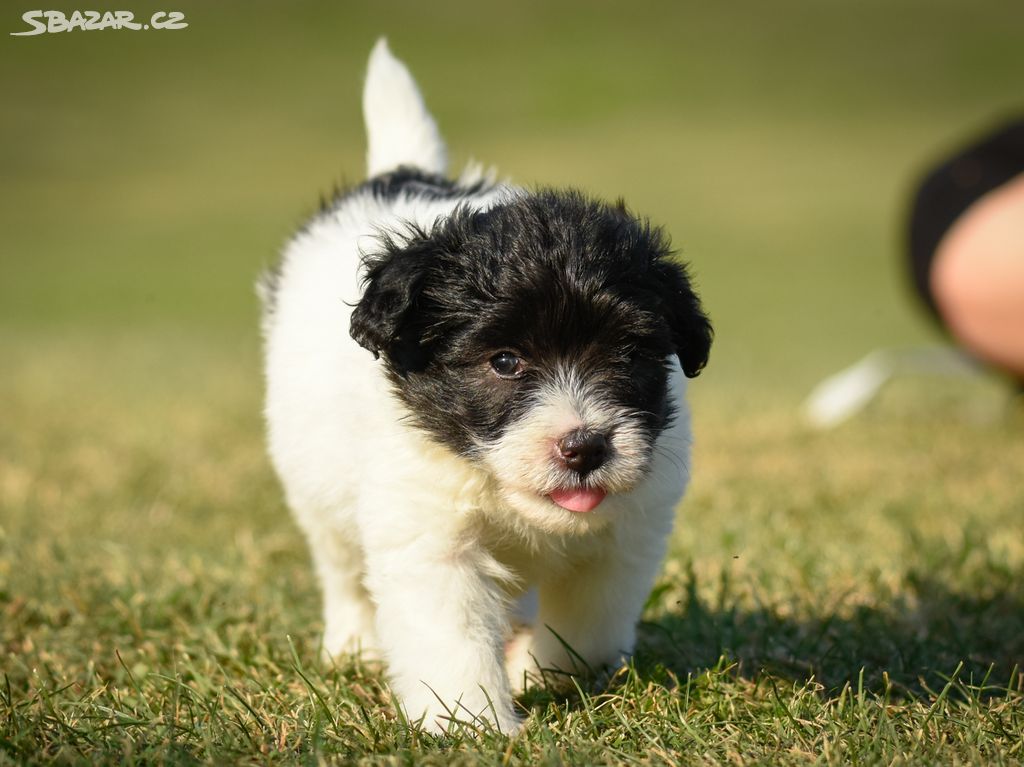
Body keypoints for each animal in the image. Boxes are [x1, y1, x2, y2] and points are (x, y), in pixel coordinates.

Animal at [262, 38, 712, 733]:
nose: (584, 449)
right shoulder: (429, 535)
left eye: (629, 354)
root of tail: (401, 171)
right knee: (341, 568)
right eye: (504, 361)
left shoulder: (626, 537)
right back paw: (353, 646)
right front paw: (475, 726)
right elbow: (450, 637)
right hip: (313, 479)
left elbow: (589, 626)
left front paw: (537, 674)